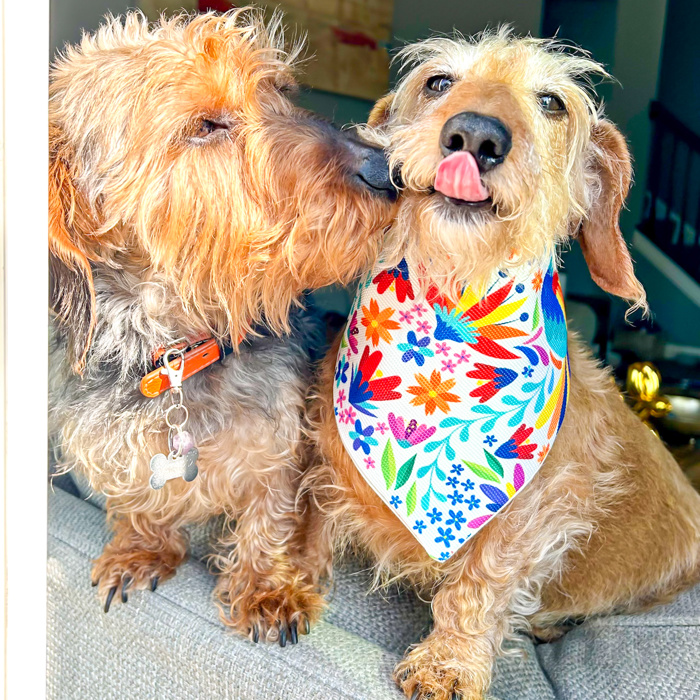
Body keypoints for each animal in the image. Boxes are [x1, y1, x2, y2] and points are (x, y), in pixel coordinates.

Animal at [50, 9, 396, 644]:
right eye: (206, 125)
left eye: (279, 89)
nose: (387, 168)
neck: (178, 353)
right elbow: (138, 499)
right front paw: (142, 547)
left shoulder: (282, 440)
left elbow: (269, 509)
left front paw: (266, 588)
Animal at [308, 30, 700, 696]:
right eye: (438, 82)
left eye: (552, 102)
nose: (476, 136)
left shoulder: (535, 516)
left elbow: (483, 583)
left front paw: (449, 662)